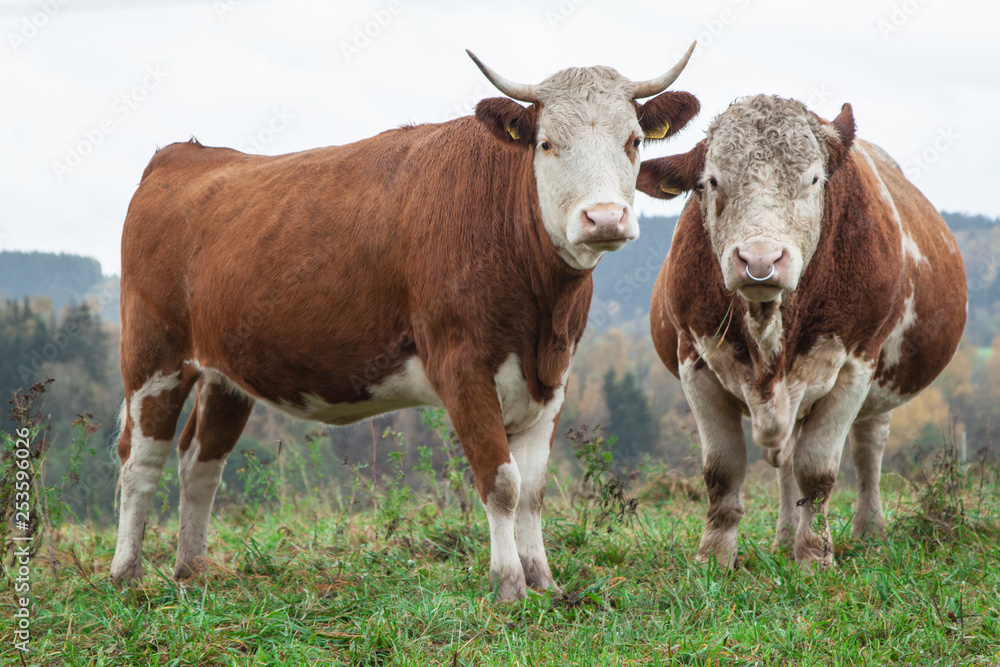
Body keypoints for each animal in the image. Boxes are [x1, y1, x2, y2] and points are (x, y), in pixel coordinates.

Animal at [111, 47, 704, 600]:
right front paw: (509, 586)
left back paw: (192, 572)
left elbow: (534, 490)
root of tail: (183, 154)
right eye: (546, 144)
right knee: (141, 459)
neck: (541, 310)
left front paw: (543, 583)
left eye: (634, 140)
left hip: (225, 373)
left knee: (200, 460)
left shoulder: (553, 375)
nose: (604, 218)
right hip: (153, 353)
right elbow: (502, 482)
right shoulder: (460, 364)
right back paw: (126, 575)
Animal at [636, 95, 964, 568]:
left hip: (880, 388)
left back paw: (869, 534)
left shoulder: (855, 364)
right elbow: (723, 468)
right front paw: (714, 555)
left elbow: (818, 469)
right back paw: (784, 538)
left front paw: (814, 556)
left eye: (812, 179)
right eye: (712, 180)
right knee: (786, 461)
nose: (759, 259)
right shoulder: (693, 358)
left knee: (867, 452)